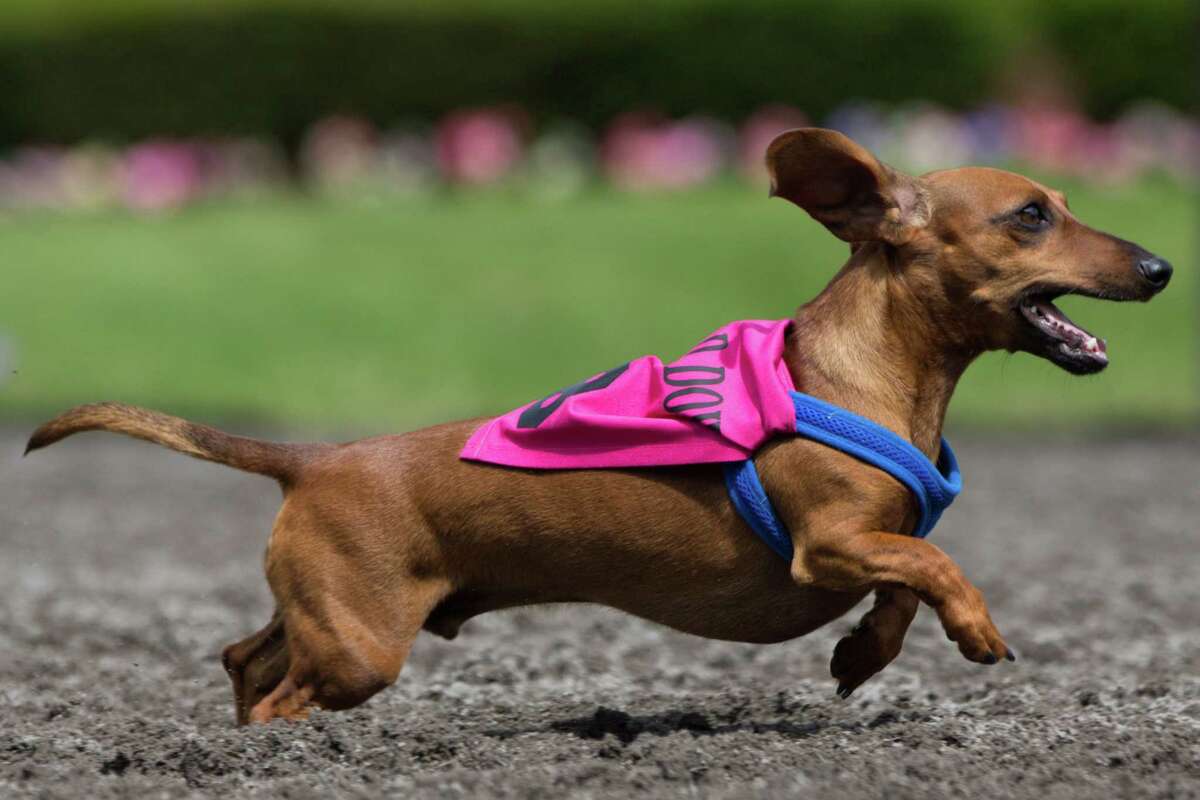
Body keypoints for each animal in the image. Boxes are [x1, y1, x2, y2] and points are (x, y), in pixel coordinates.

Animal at [25, 126, 1171, 724]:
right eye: (1032, 216)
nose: (1162, 266)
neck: (868, 376)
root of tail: (314, 458)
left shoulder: (867, 542)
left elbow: (906, 580)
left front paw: (859, 657)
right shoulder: (829, 541)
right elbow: (934, 564)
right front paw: (977, 629)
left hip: (331, 610)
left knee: (243, 655)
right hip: (359, 647)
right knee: (283, 695)